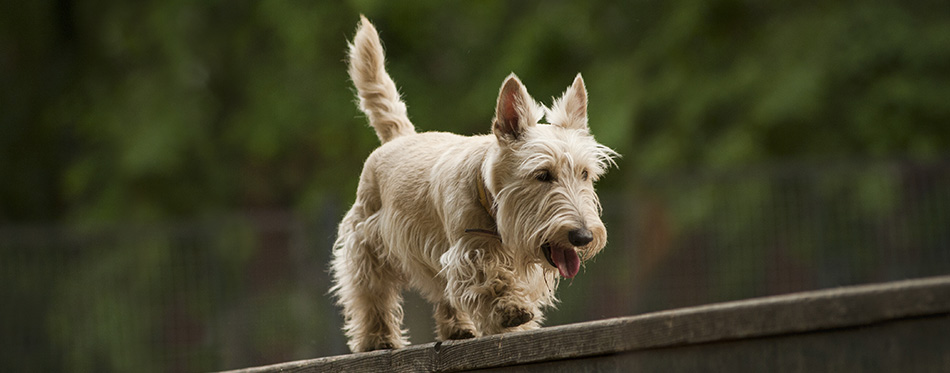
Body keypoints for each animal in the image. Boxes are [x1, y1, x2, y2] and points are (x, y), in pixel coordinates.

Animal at [330, 15, 620, 352]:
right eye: (543, 174)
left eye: (585, 174)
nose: (583, 236)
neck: (491, 199)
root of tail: (400, 136)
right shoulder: (470, 250)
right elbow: (488, 278)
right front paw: (510, 310)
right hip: (365, 240)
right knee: (370, 291)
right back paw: (378, 338)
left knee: (442, 291)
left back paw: (457, 329)